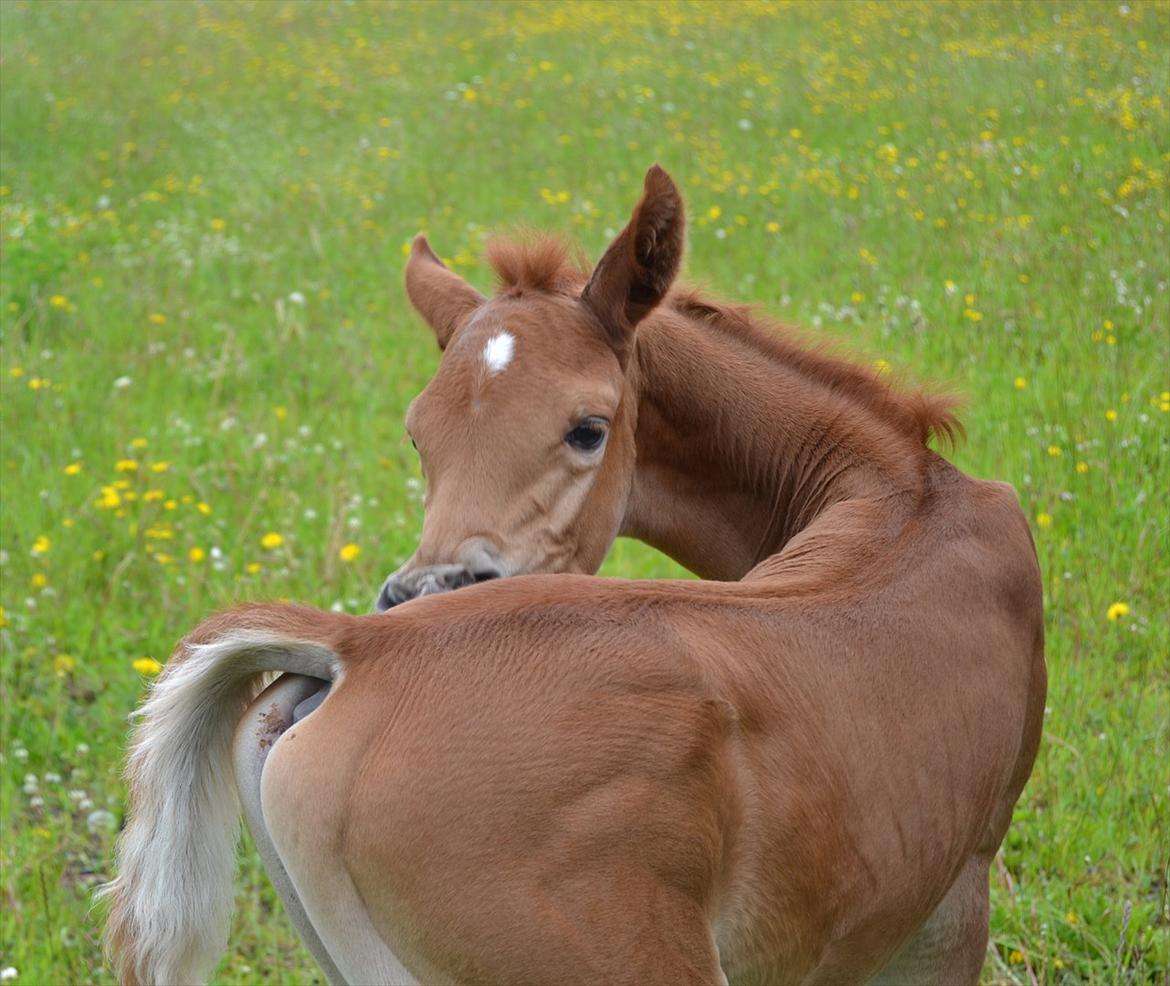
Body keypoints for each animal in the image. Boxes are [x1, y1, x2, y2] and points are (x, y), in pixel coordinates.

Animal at [107, 166, 1043, 982]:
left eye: (588, 429)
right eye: (419, 435)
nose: (421, 589)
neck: (898, 502)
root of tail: (354, 645)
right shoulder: (951, 901)